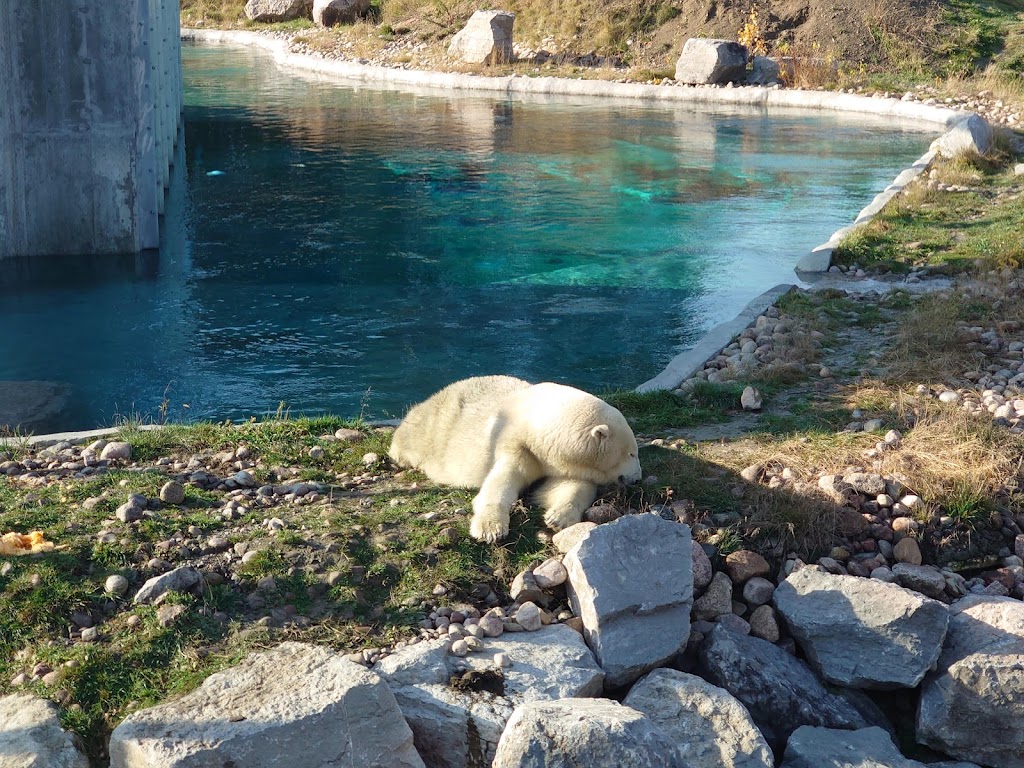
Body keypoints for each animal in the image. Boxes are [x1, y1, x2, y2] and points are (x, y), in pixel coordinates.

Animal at [389, 376, 638, 544]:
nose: (636, 478)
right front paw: (490, 529)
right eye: (632, 453)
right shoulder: (515, 443)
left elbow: (568, 485)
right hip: (430, 431)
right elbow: (502, 482)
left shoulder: (557, 460)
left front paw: (558, 517)